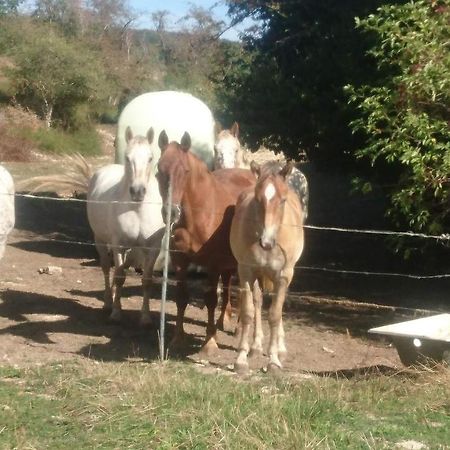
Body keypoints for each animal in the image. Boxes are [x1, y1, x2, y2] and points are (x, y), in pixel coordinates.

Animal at [87, 125, 164, 324]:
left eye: (150, 158)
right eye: (128, 157)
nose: (137, 191)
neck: (138, 209)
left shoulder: (152, 248)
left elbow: (146, 280)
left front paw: (145, 317)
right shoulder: (118, 246)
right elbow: (120, 276)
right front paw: (116, 312)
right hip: (100, 240)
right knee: (107, 268)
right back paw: (108, 302)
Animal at [156, 129, 255, 356]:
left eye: (185, 171)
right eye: (158, 170)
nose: (170, 213)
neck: (199, 215)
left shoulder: (213, 265)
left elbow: (210, 300)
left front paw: (209, 343)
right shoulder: (180, 261)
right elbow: (181, 297)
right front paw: (177, 339)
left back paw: (237, 329)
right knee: (227, 289)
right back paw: (221, 324)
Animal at [230, 160, 304, 370]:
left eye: (282, 200)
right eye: (258, 199)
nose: (266, 242)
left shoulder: (283, 276)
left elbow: (274, 314)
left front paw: (274, 360)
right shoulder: (246, 271)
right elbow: (248, 312)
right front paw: (241, 359)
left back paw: (281, 348)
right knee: (258, 301)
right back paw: (255, 346)